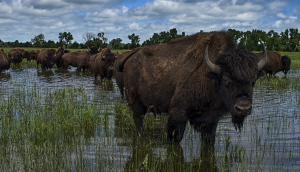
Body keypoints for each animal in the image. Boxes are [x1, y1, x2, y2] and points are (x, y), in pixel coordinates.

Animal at [117, 31, 268, 144]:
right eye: (226, 79)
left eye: (253, 80)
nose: (243, 109)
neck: (212, 76)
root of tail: (132, 54)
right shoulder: (178, 113)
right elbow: (175, 138)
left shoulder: (211, 119)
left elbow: (209, 139)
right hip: (136, 103)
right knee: (138, 120)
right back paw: (142, 136)